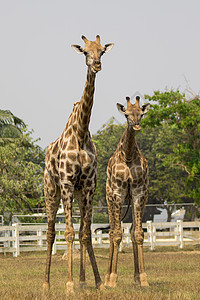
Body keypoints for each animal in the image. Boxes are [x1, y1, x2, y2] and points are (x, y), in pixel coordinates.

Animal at [42, 34, 114, 292]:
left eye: (102, 51)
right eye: (84, 51)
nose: (97, 65)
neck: (81, 133)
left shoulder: (89, 185)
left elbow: (85, 233)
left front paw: (97, 281)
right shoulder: (66, 182)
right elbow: (69, 233)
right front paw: (70, 284)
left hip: (79, 193)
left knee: (81, 230)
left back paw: (82, 281)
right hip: (51, 191)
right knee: (51, 232)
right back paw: (46, 283)